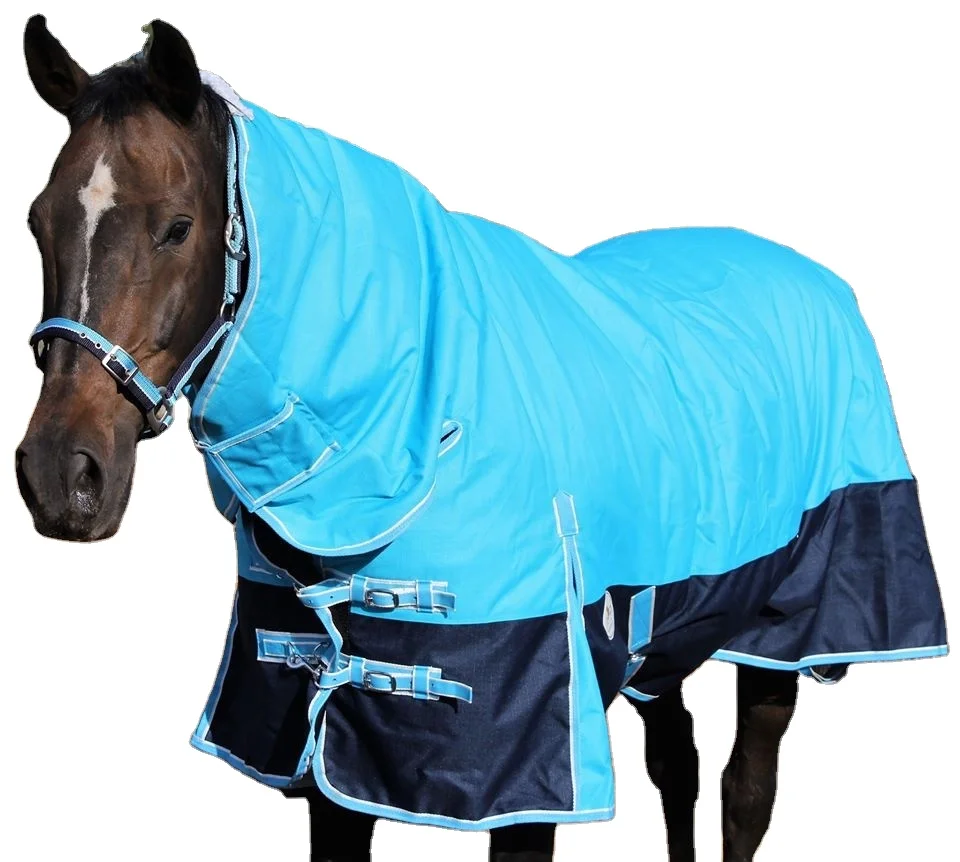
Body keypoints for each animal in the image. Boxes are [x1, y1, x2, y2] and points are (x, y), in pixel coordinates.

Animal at [15, 16, 946, 862]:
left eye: (177, 226)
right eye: (37, 221)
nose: (60, 475)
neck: (419, 429)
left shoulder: (524, 759)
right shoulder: (327, 754)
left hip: (787, 629)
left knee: (744, 791)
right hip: (672, 627)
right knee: (676, 764)